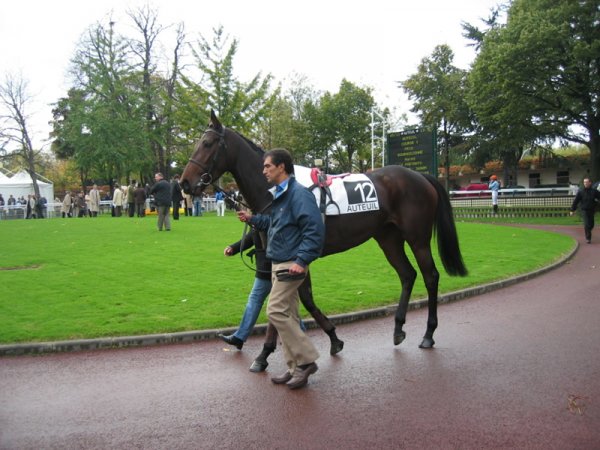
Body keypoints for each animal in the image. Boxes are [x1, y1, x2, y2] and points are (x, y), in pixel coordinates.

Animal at [180, 110, 472, 360]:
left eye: (207, 143)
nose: (184, 182)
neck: (277, 192)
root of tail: (421, 176)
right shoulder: (279, 257)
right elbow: (294, 299)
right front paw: (329, 338)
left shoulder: (294, 255)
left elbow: (293, 300)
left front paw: (266, 353)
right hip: (387, 238)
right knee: (407, 274)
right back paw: (399, 328)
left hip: (417, 237)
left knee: (430, 276)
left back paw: (428, 333)